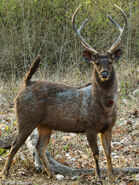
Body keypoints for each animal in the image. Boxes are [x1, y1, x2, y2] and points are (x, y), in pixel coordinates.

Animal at [1, 4, 127, 182]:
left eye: (110, 61)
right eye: (96, 62)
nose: (104, 73)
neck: (105, 106)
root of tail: (26, 83)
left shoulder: (108, 127)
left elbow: (108, 153)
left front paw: (112, 178)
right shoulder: (89, 125)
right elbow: (95, 153)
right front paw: (99, 178)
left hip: (45, 125)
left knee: (39, 147)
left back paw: (52, 175)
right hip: (26, 118)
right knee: (15, 144)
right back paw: (5, 173)